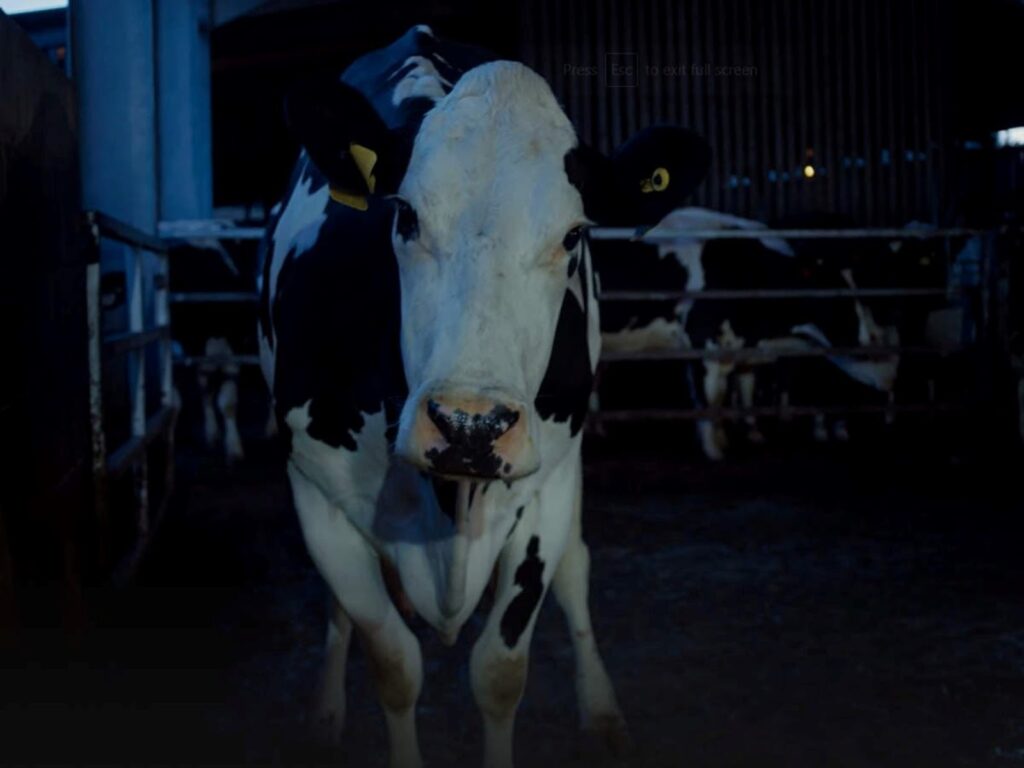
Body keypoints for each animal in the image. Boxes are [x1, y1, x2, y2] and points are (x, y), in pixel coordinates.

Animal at [258, 25, 709, 768]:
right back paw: (323, 715)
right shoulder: (315, 491)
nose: (470, 426)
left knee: (577, 571)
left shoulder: (544, 490)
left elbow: (499, 672)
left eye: (574, 235)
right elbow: (392, 661)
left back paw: (603, 712)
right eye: (405, 216)